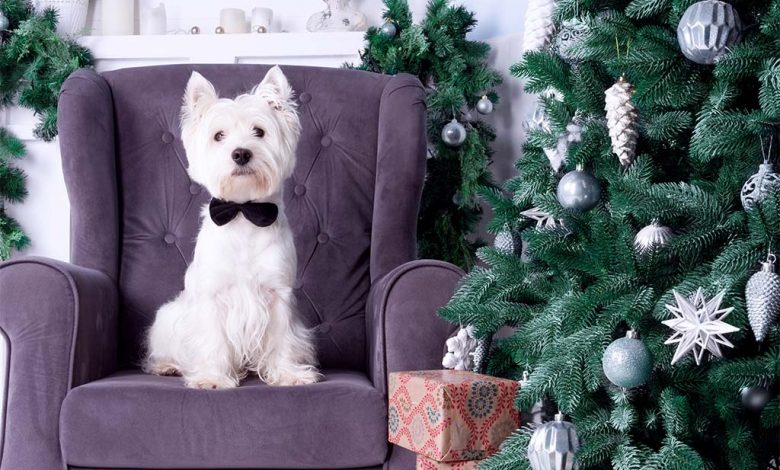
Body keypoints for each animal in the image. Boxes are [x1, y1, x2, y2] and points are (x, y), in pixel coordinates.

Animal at [143, 66, 320, 390]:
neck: (243, 213)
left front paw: (288, 374)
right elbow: (212, 340)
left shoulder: (278, 293)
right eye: (218, 136)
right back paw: (167, 366)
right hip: (167, 316)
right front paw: (212, 378)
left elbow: (282, 339)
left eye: (259, 131)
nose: (240, 154)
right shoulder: (213, 297)